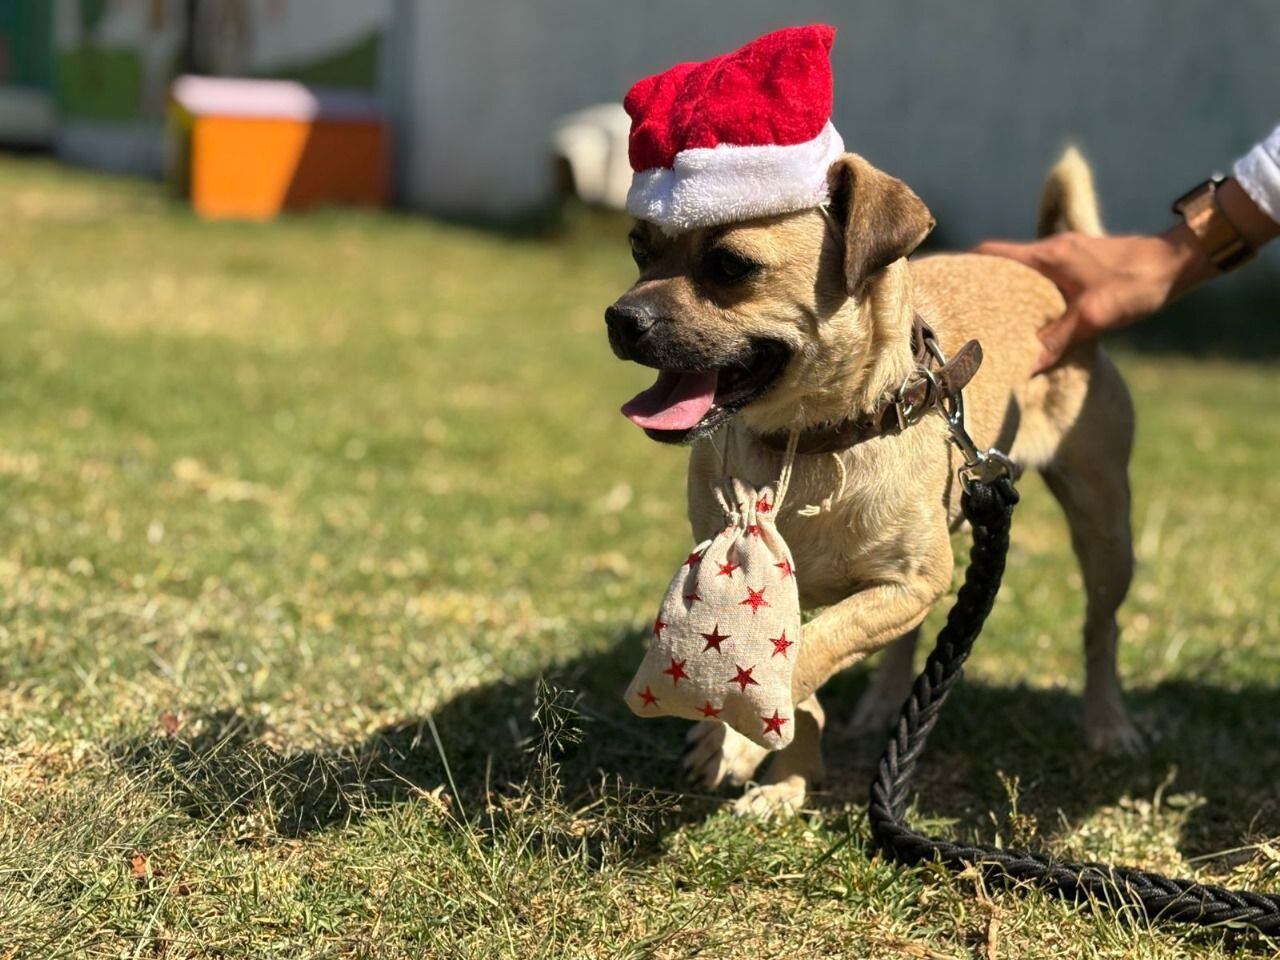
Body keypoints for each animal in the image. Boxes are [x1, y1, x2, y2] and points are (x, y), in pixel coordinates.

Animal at [606, 150, 1141, 819]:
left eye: (731, 265)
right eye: (638, 248)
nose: (619, 318)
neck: (812, 436)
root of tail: (1042, 274)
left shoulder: (909, 582)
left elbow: (803, 659)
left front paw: (740, 741)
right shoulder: (803, 593)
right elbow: (802, 675)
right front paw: (783, 776)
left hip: (1104, 527)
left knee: (1102, 627)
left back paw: (1108, 723)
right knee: (907, 645)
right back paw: (883, 706)